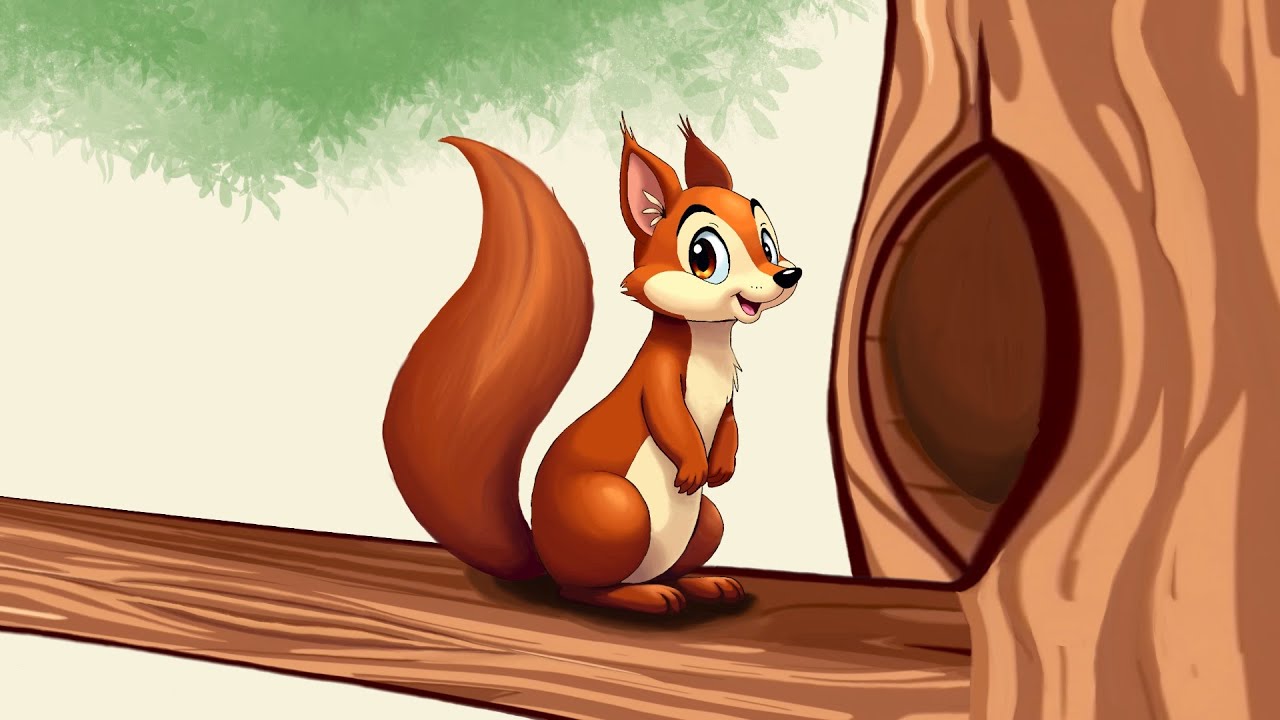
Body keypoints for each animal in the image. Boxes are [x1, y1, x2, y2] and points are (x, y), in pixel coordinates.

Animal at [382, 115, 802, 615]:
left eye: (768, 241)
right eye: (704, 256)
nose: (788, 274)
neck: (709, 341)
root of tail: (545, 556)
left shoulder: (728, 394)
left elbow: (732, 423)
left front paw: (720, 467)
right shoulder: (656, 378)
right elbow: (669, 418)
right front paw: (695, 467)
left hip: (707, 521)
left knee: (674, 563)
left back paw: (703, 584)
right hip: (616, 512)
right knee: (582, 589)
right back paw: (647, 596)